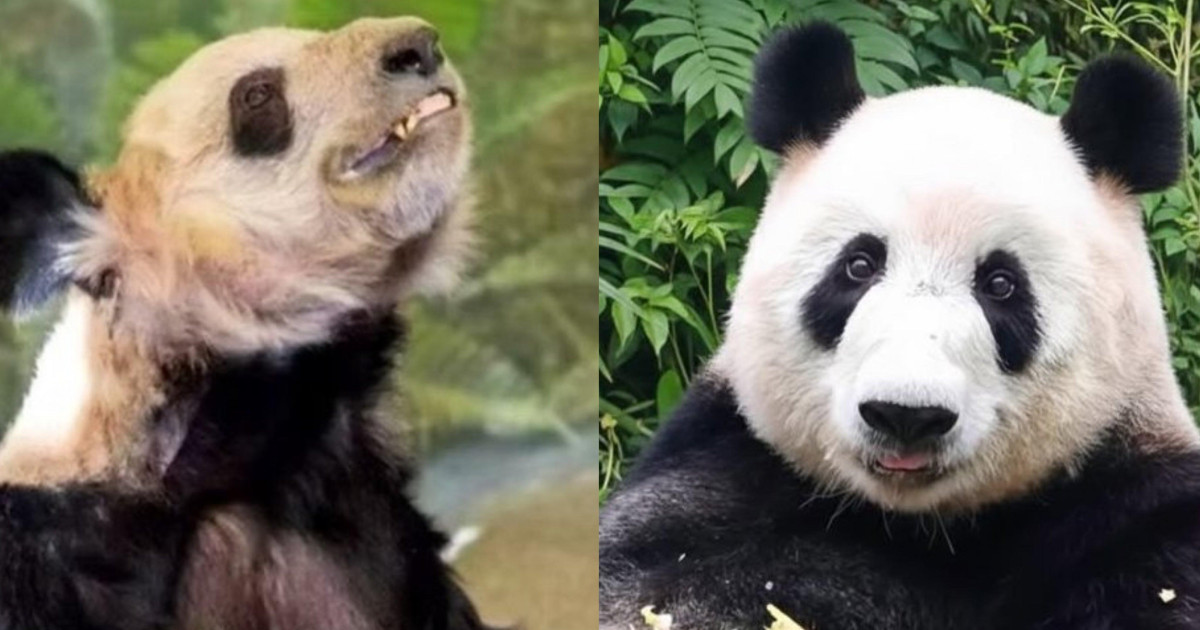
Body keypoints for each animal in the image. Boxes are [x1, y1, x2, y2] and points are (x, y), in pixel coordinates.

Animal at [600, 22, 1200, 630]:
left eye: (1001, 284)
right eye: (859, 266)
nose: (906, 415)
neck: (913, 524)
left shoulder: (1128, 505)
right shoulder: (726, 459)